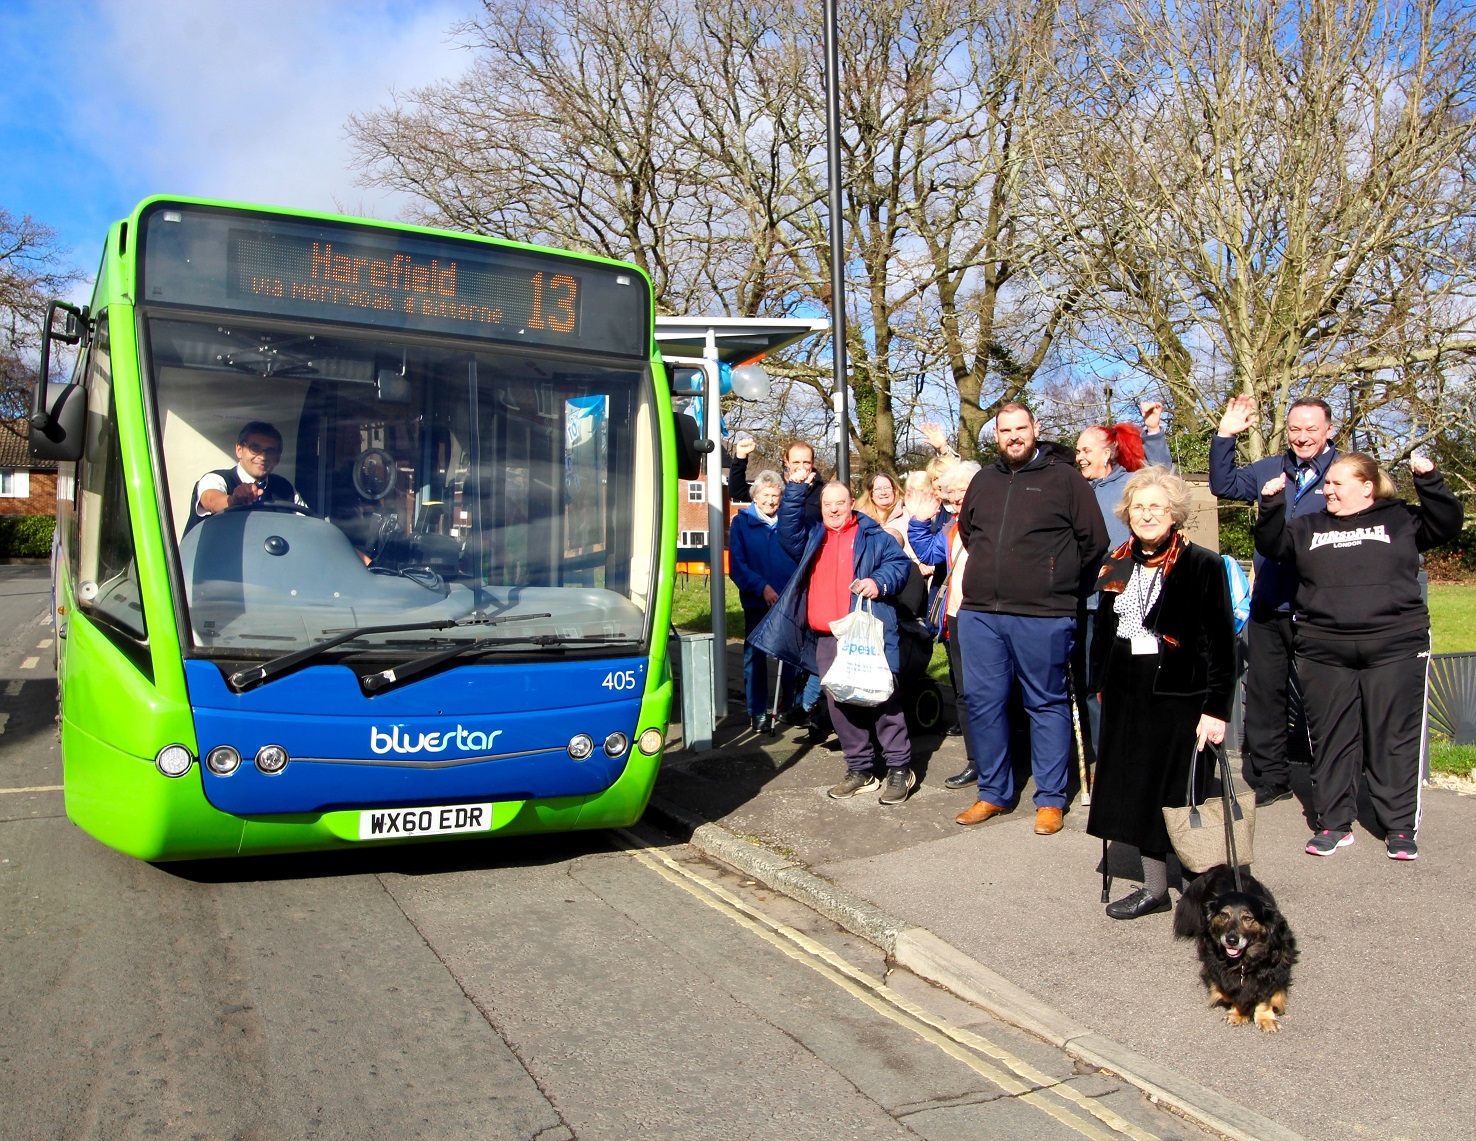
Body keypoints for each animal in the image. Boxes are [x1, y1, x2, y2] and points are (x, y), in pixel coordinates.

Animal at [1168, 862, 1298, 1033]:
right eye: (1224, 915)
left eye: (1248, 918)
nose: (1231, 940)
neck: (1244, 960)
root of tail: (1223, 868)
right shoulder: (1217, 967)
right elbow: (1230, 989)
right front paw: (1238, 1013)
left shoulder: (1274, 969)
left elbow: (1265, 996)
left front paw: (1265, 1018)